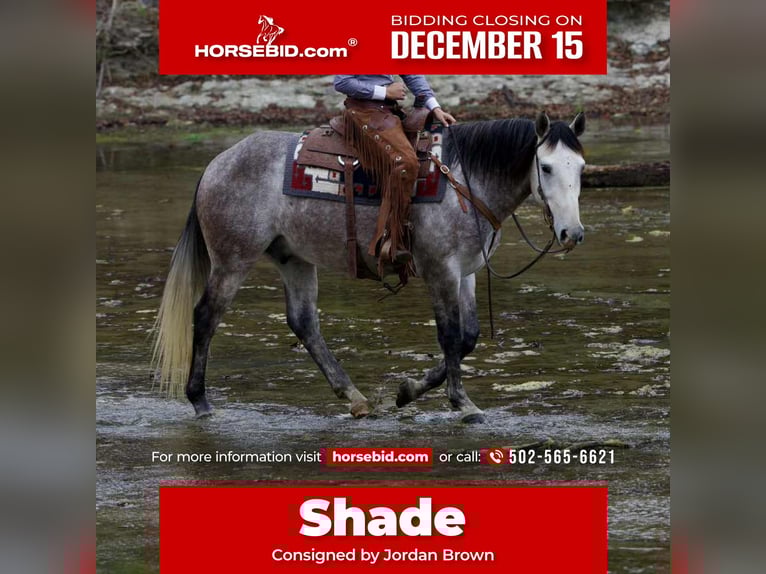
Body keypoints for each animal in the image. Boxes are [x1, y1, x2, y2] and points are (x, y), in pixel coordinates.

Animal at [152, 111, 586, 424]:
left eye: (581, 168)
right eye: (546, 167)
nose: (573, 233)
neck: (466, 183)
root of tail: (217, 164)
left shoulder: (466, 273)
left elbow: (468, 338)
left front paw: (407, 391)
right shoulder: (441, 271)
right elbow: (449, 337)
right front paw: (463, 404)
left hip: (293, 258)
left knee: (304, 323)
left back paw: (356, 399)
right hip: (233, 259)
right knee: (205, 316)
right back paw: (200, 401)